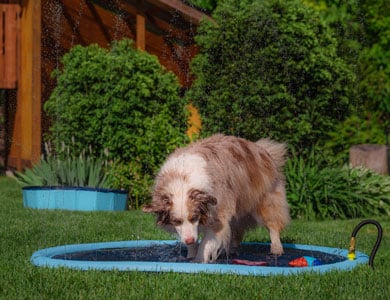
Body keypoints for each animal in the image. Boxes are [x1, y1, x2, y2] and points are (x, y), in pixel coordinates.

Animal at [143, 134, 290, 262]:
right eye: (176, 221)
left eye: (194, 218)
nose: (189, 240)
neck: (181, 180)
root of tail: (262, 149)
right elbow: (191, 236)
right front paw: (190, 255)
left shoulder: (219, 212)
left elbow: (207, 241)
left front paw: (199, 260)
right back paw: (232, 249)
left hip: (264, 198)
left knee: (272, 223)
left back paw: (276, 248)